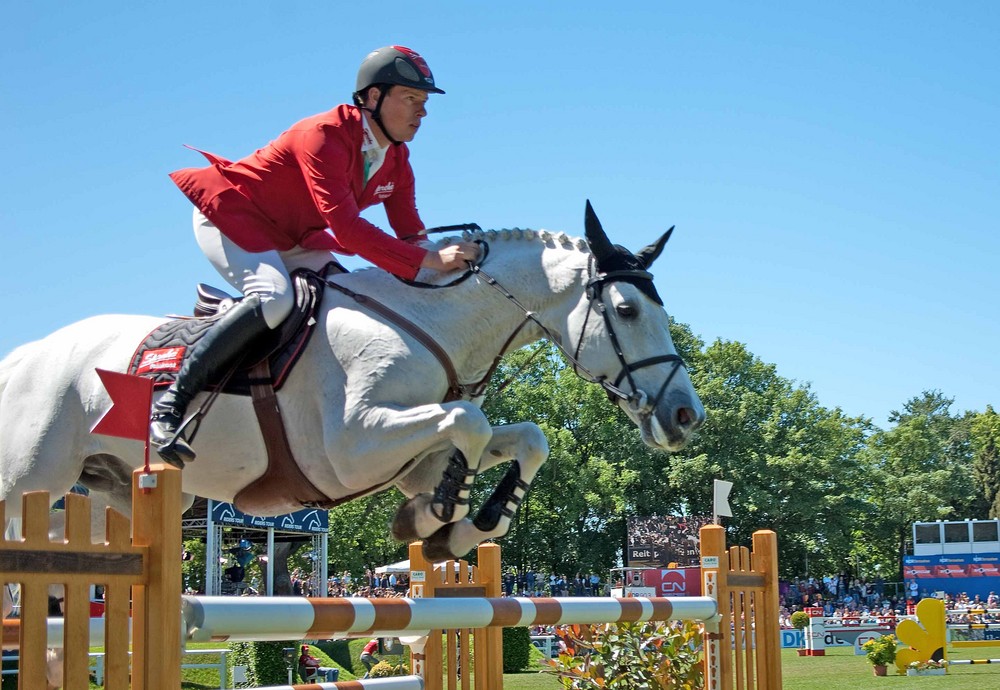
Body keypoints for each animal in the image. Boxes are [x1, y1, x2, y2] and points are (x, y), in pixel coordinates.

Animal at [0, 200, 708, 564]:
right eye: (626, 310)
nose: (685, 416)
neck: (432, 322)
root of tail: (25, 356)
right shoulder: (349, 448)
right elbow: (471, 423)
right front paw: (440, 514)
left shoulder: (409, 452)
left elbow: (524, 437)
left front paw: (457, 525)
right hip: (29, 480)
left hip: (110, 494)